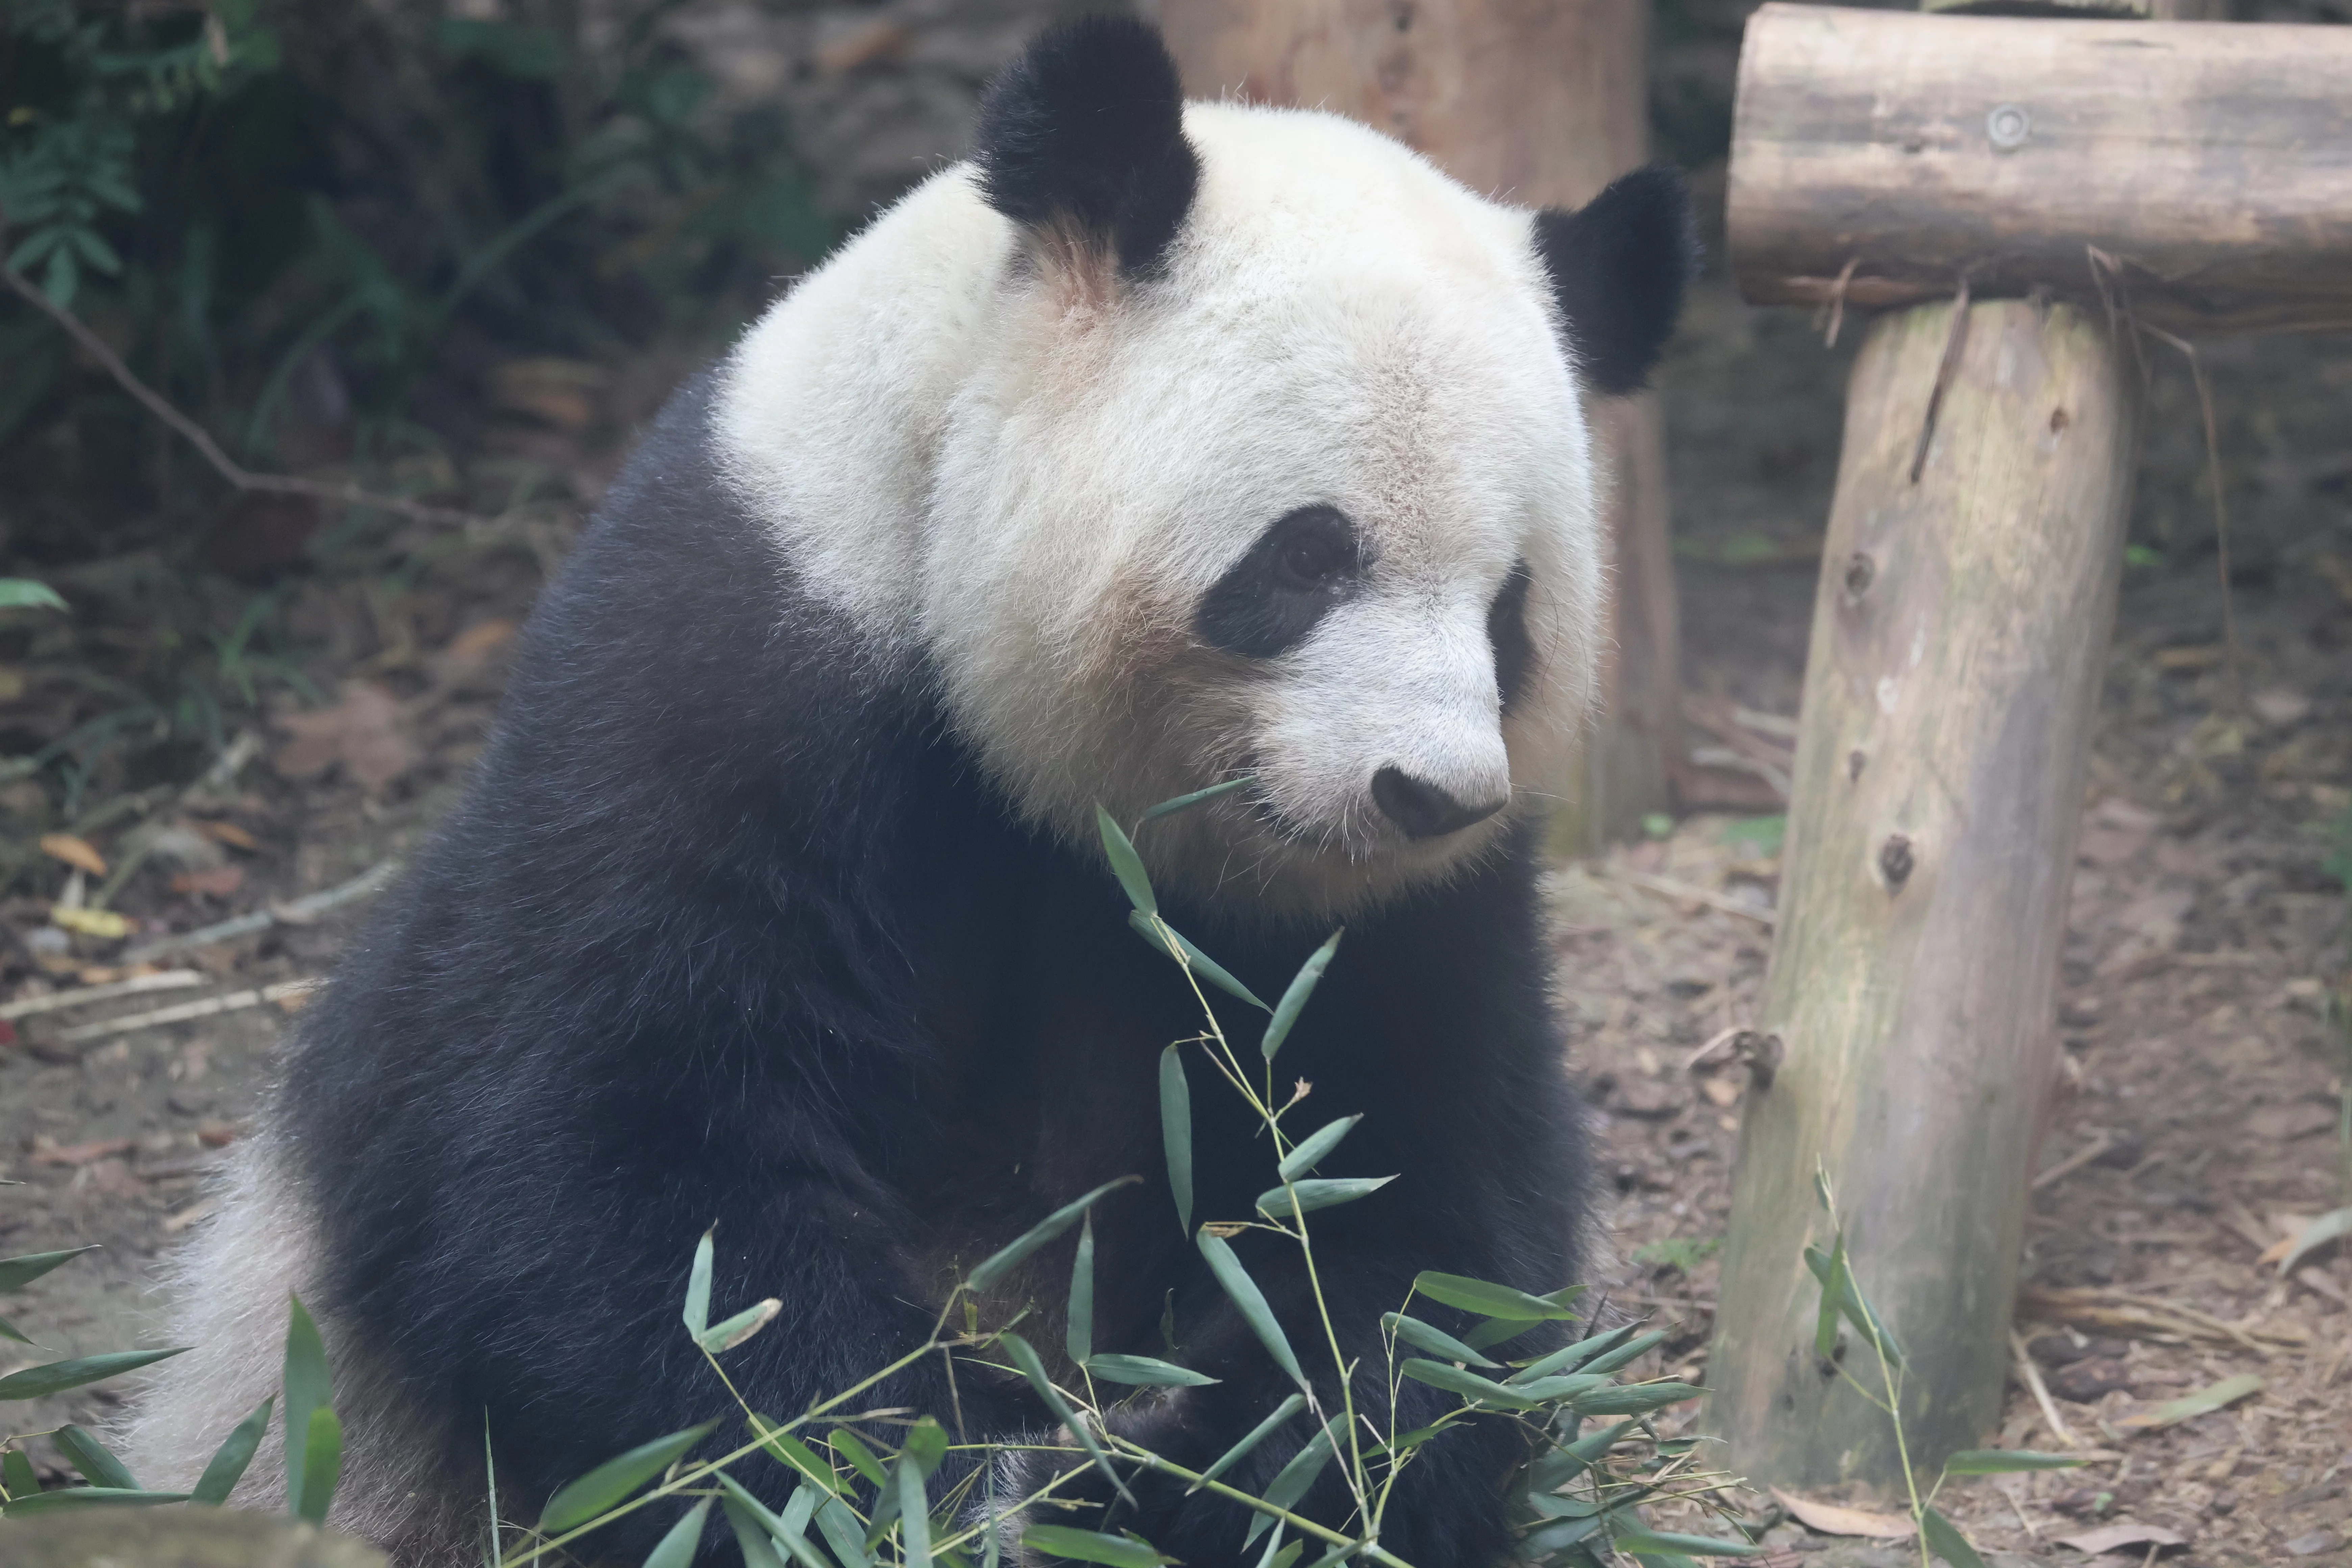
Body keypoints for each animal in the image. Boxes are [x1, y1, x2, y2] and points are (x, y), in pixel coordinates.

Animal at [122, 17, 1691, 1567]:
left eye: (1510, 611)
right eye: (1308, 557)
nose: (1425, 793)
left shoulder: (1400, 919)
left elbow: (1427, 1228)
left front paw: (1243, 1465)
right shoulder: (727, 675)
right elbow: (605, 1169)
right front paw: (994, 1475)